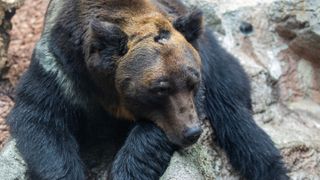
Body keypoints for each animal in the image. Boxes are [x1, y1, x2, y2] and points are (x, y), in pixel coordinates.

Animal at [6, 0, 288, 179]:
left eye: (192, 82)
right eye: (159, 88)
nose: (192, 132)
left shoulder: (197, 84)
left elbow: (151, 136)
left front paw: (126, 170)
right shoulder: (60, 70)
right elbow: (42, 122)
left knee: (240, 126)